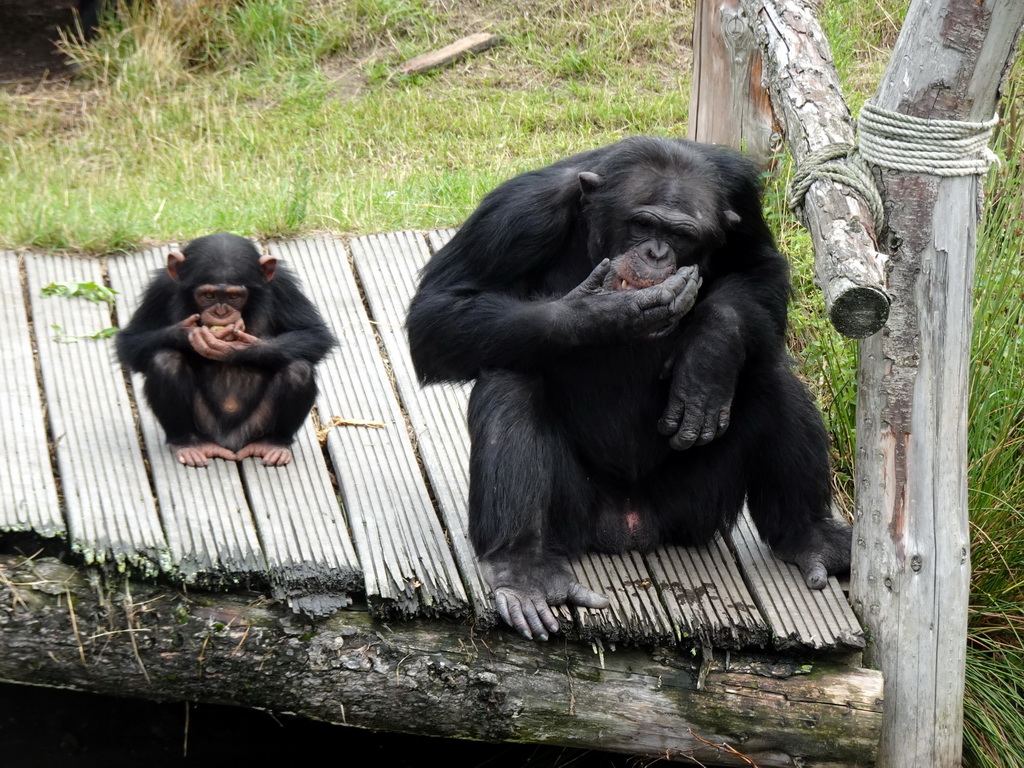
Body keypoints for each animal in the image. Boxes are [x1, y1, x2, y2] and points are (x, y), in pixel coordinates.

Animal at [116, 231, 333, 466]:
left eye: (234, 296)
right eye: (209, 296)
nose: (221, 312)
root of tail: (230, 443)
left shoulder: (284, 286)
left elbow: (315, 334)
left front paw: (240, 348)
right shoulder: (159, 288)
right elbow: (131, 341)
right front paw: (187, 334)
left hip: (256, 425)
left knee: (298, 369)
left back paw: (273, 443)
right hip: (205, 425)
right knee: (165, 361)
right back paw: (189, 443)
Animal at [403, 135, 851, 638]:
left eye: (681, 235)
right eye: (642, 224)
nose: (656, 254)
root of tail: (631, 528)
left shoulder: (743, 199)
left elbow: (759, 268)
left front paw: (709, 351)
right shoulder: (518, 212)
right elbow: (440, 308)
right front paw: (605, 313)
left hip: (692, 509)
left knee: (768, 373)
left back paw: (811, 537)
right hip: (577, 514)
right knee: (509, 376)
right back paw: (522, 568)